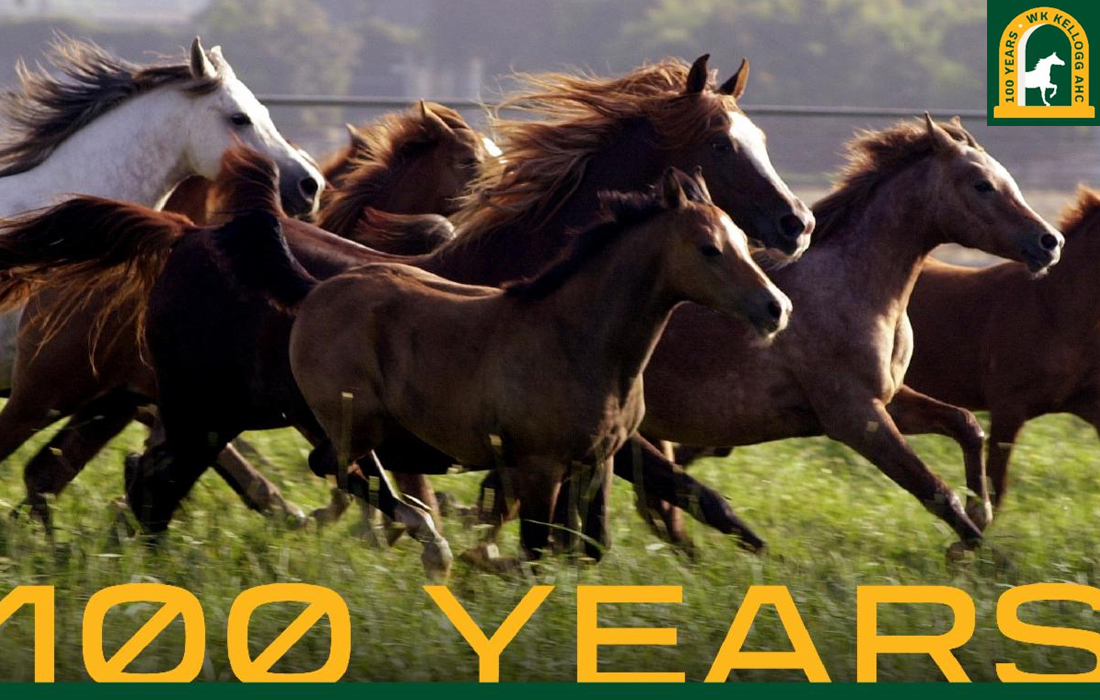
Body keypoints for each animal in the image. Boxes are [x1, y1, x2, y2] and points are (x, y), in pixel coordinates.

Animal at [212, 167, 789, 576]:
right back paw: (428, 539)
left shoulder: (597, 460)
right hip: (353, 418)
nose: (776, 308)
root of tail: (314, 288)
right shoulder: (539, 464)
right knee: (334, 465)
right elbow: (536, 550)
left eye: (742, 240)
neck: (577, 340)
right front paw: (485, 562)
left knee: (351, 469)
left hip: (366, 425)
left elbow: (590, 545)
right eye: (709, 249)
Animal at [629, 115, 1063, 555]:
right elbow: (934, 490)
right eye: (982, 184)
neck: (851, 284)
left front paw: (979, 517)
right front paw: (979, 554)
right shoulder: (856, 417)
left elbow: (966, 425)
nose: (1050, 241)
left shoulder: (887, 399)